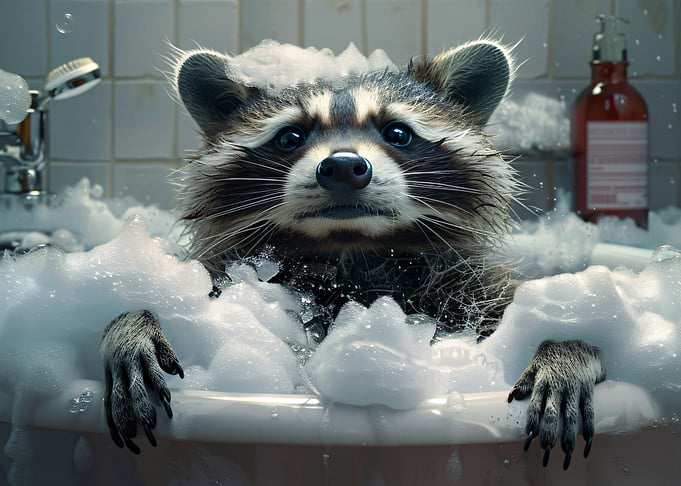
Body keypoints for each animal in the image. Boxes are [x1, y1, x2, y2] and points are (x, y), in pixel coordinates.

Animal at [100, 40, 605, 470]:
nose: (343, 167)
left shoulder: (469, 288)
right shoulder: (230, 278)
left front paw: (566, 346)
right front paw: (133, 322)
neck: (350, 251)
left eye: (398, 133)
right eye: (290, 137)